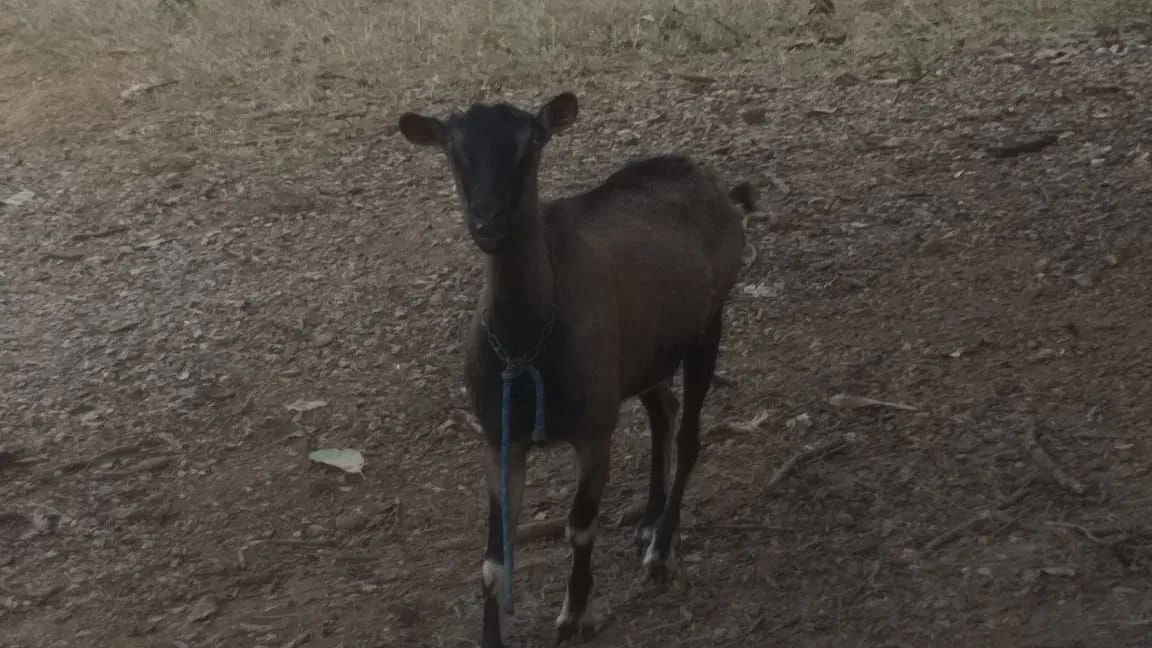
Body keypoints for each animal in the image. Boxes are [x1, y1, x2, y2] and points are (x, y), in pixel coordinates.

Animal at [398, 92, 750, 647]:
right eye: (452, 149)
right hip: (644, 357)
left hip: (707, 326)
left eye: (532, 142)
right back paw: (649, 520)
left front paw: (576, 612)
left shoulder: (593, 430)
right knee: (663, 411)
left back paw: (661, 548)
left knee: (689, 433)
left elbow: (580, 524)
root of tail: (711, 182)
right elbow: (493, 559)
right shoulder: (501, 437)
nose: (489, 223)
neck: (525, 346)